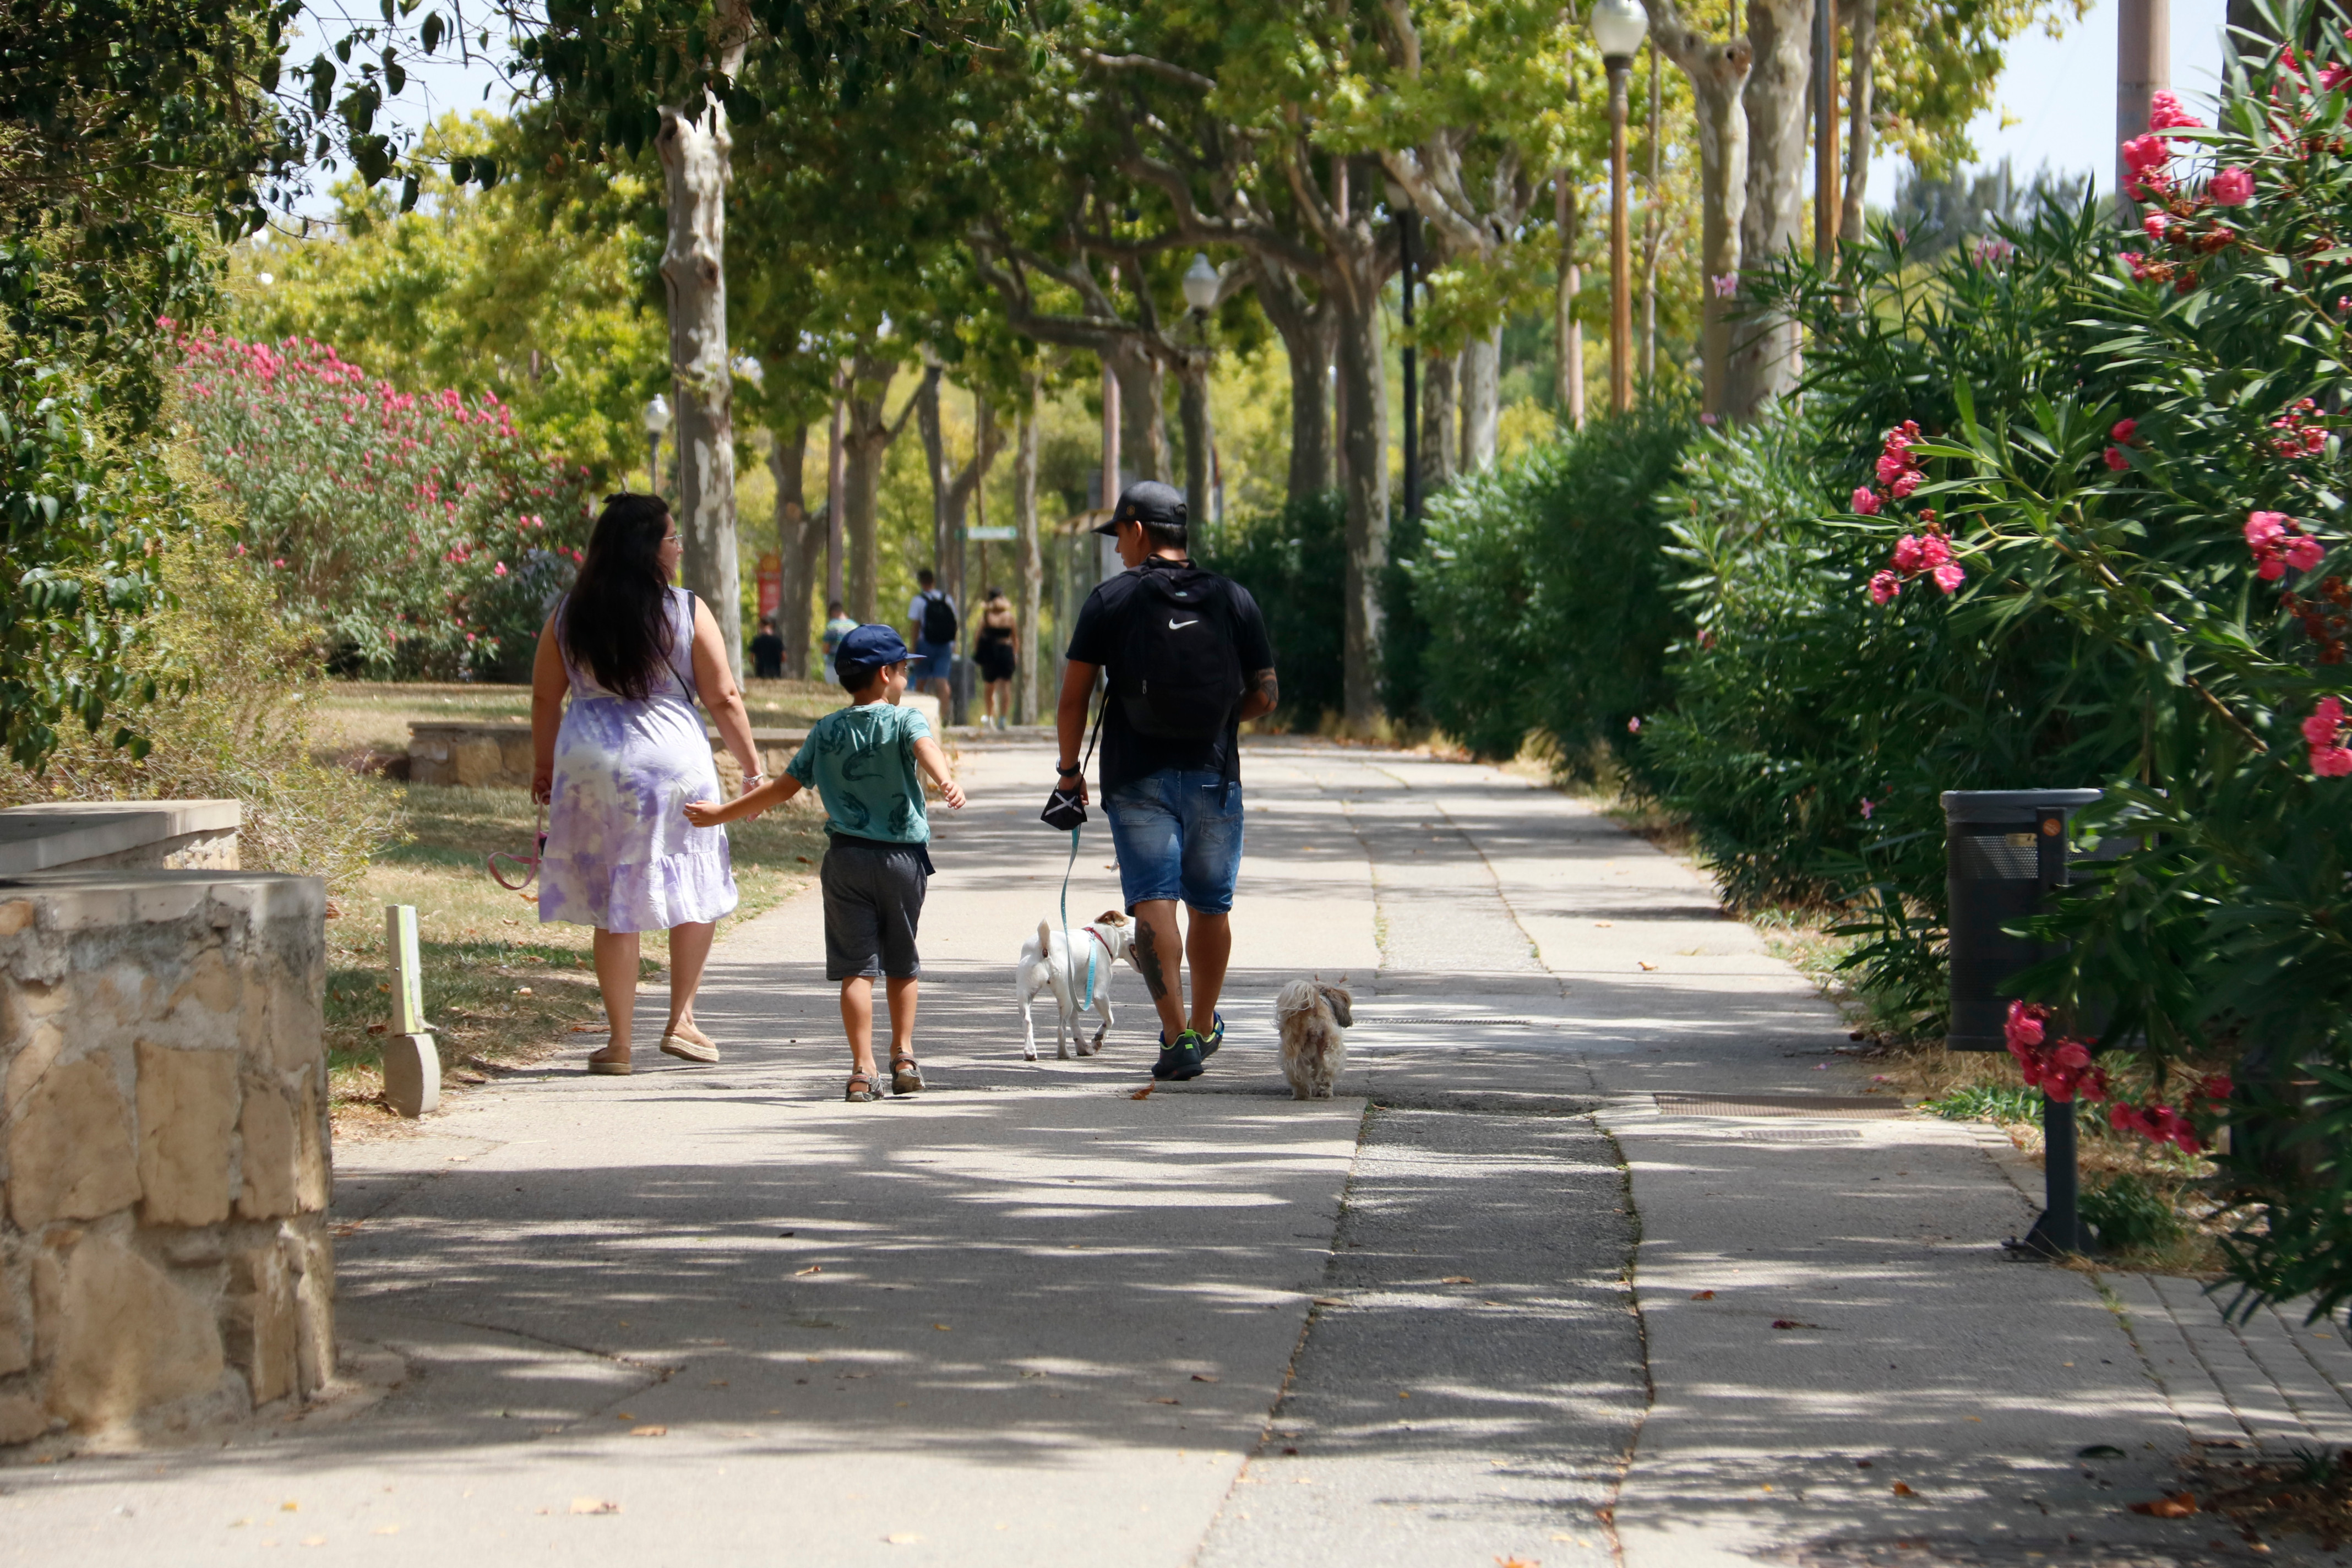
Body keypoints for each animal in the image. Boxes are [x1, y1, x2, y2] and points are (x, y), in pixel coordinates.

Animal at [1011, 912, 1138, 1062]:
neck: (1100, 938)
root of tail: (1045, 947)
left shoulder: (1075, 999)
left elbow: (1076, 1027)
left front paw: (1083, 1048)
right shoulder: (1099, 995)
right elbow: (1109, 1020)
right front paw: (1098, 1039)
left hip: (1027, 994)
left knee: (1027, 1022)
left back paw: (1030, 1053)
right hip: (1065, 998)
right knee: (1061, 1029)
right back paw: (1063, 1054)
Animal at [1279, 982, 1354, 1104]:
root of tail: (1311, 1008)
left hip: (1292, 1048)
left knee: (1296, 1071)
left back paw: (1301, 1094)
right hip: (1332, 1047)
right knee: (1327, 1070)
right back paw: (1326, 1090)